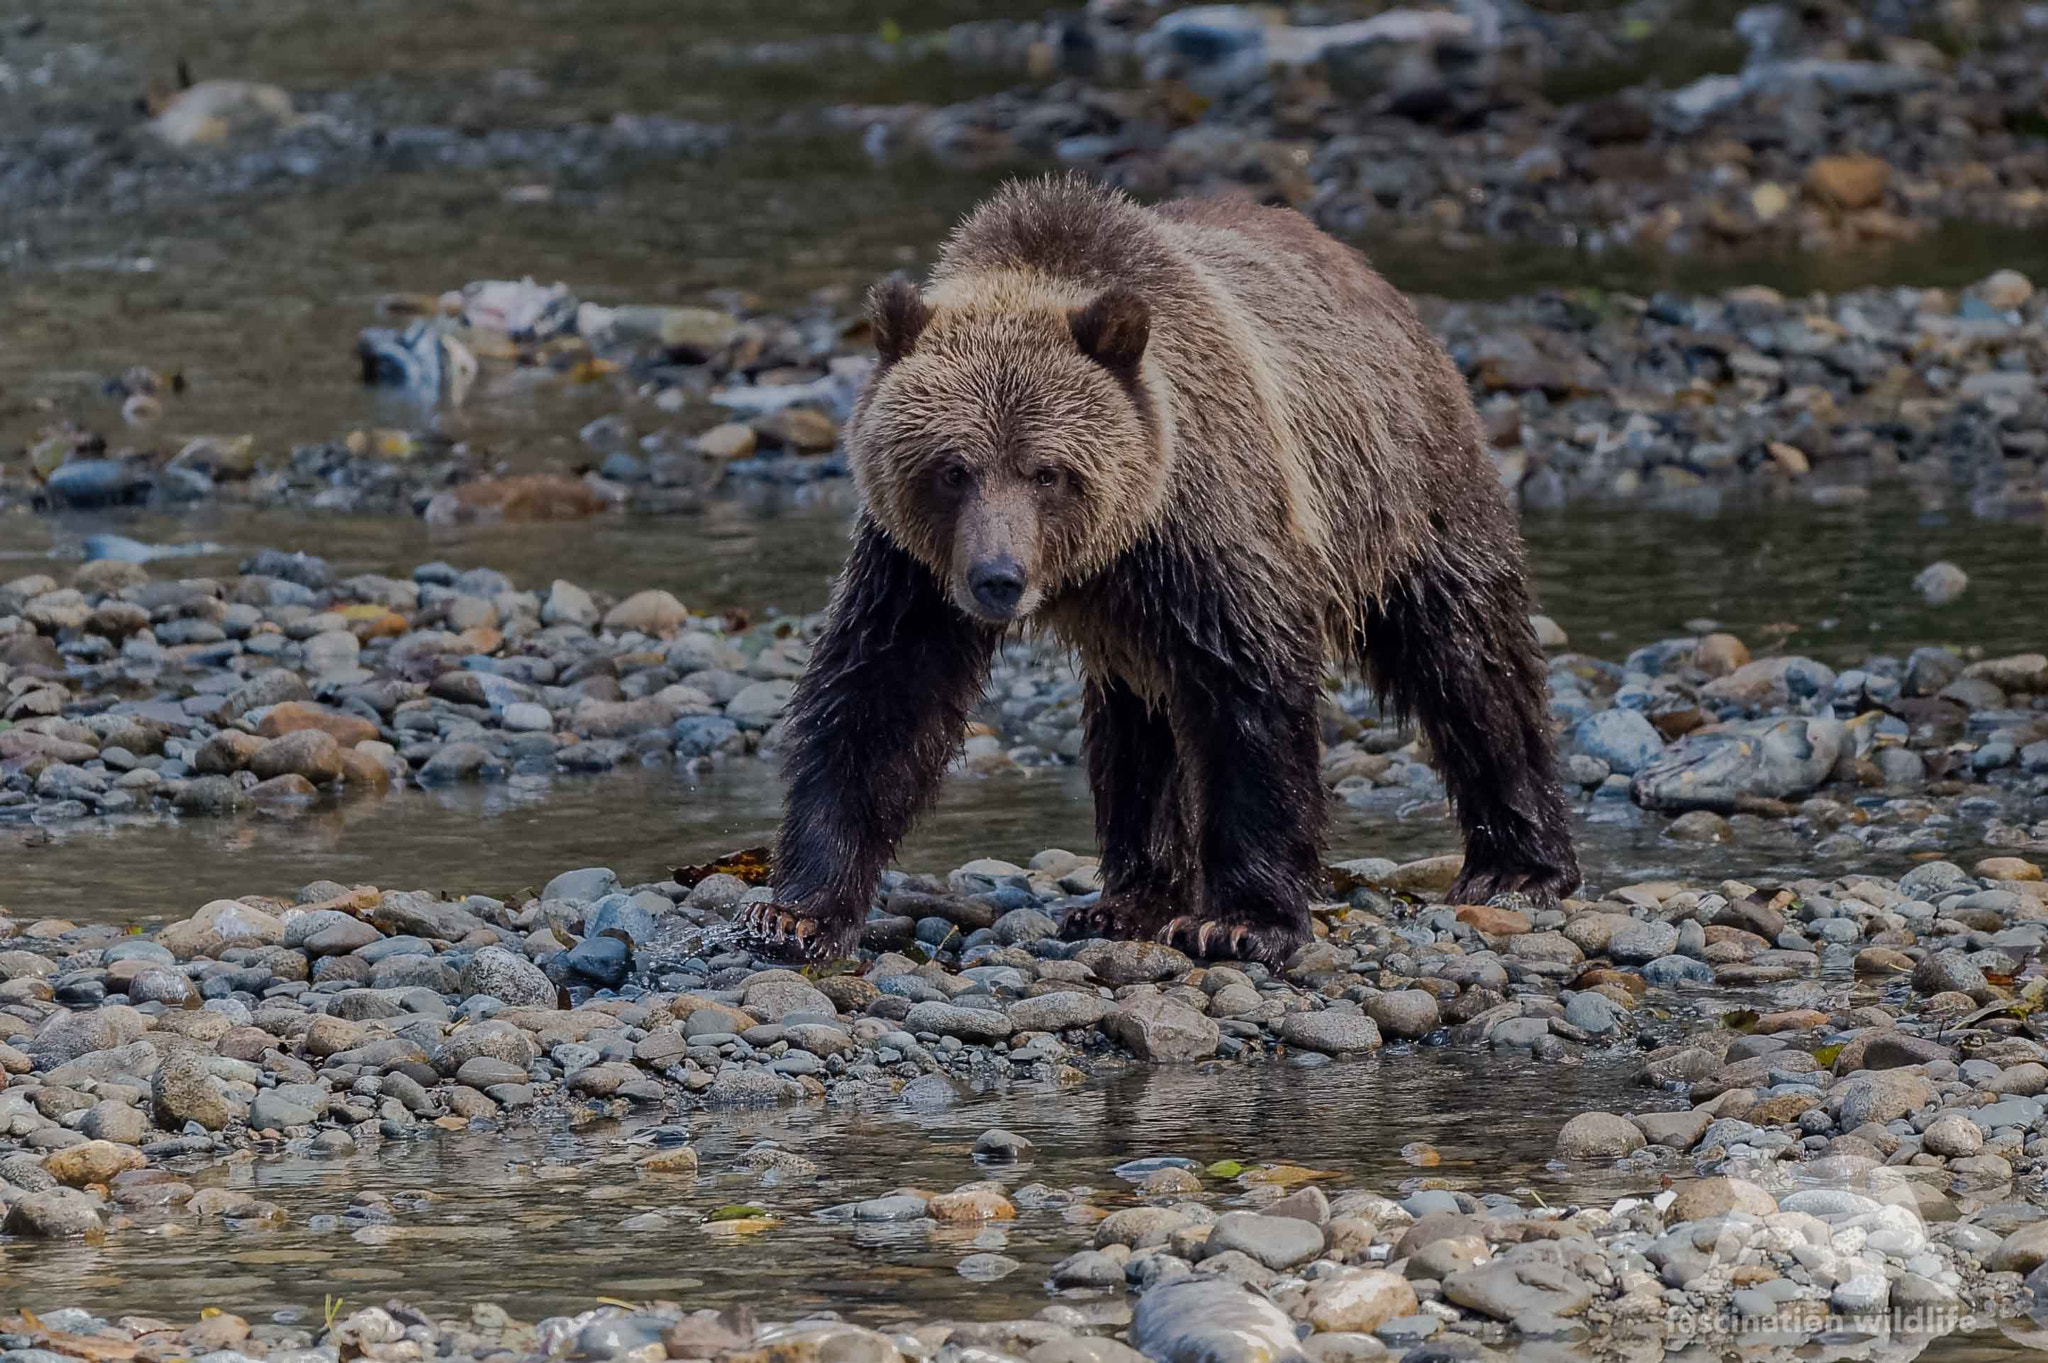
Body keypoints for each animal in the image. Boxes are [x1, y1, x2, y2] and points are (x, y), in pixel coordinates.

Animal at [734, 172, 1579, 965]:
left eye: (1048, 470)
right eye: (952, 468)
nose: (998, 579)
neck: (1109, 548)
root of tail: (1373, 280)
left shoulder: (1206, 523)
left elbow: (1249, 694)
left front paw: (1242, 920)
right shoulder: (914, 565)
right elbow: (881, 693)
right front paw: (797, 911)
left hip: (1403, 489)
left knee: (1468, 658)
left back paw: (1517, 863)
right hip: (1136, 628)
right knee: (1136, 727)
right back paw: (1128, 898)